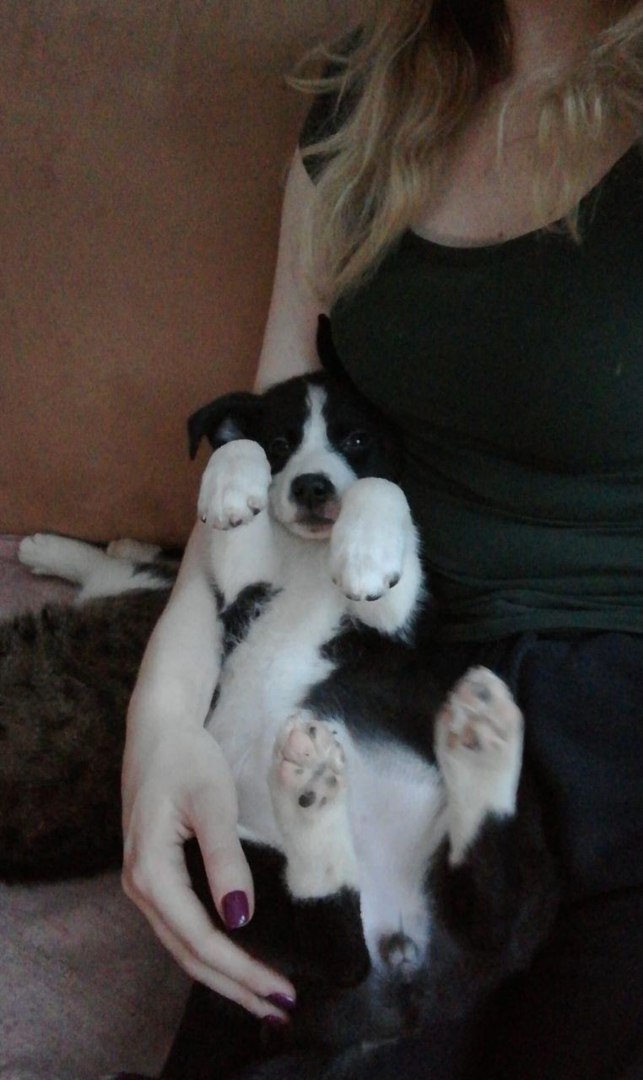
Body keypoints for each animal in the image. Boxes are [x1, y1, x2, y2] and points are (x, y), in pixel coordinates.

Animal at [13, 358, 558, 1078]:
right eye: (280, 443)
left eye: (357, 440)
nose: (311, 487)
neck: (307, 558)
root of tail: (409, 987)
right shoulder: (241, 584)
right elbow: (233, 483)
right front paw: (230, 483)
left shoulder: (399, 618)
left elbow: (384, 493)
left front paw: (364, 550)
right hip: (224, 868)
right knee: (345, 943)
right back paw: (325, 796)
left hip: (525, 876)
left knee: (486, 917)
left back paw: (472, 747)